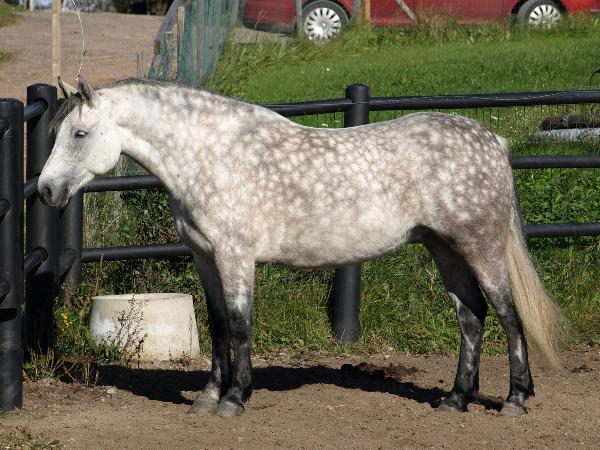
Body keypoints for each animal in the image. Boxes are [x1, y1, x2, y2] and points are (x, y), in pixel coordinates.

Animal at [39, 76, 562, 418]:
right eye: (57, 133)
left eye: (80, 134)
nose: (45, 191)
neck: (210, 156)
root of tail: (493, 139)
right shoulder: (205, 257)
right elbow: (217, 326)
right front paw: (207, 397)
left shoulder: (234, 256)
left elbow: (240, 324)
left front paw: (235, 399)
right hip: (445, 249)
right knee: (471, 318)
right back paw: (455, 400)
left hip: (480, 246)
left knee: (508, 316)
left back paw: (515, 400)